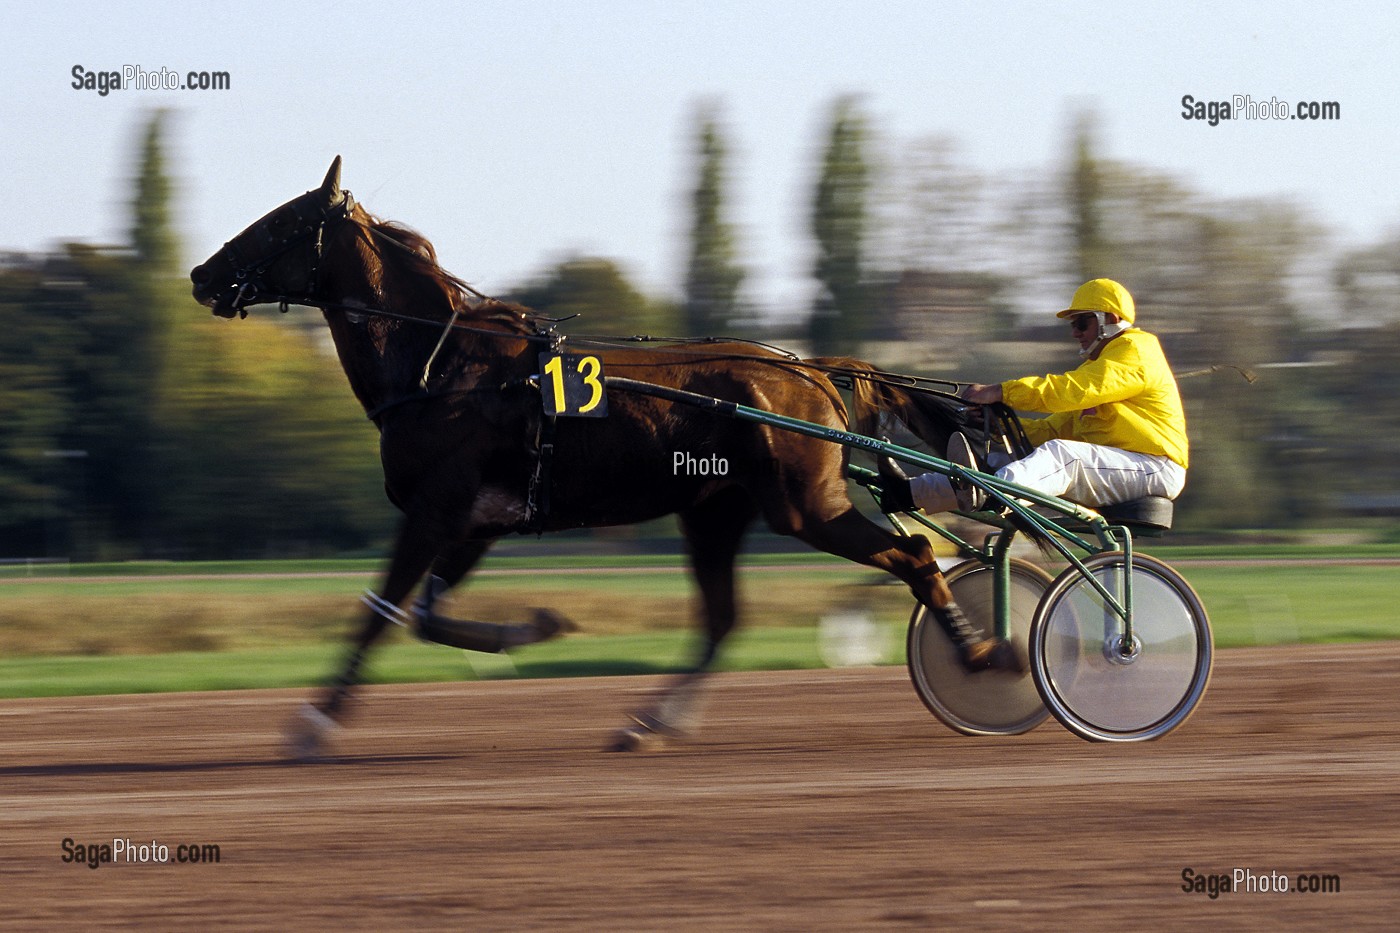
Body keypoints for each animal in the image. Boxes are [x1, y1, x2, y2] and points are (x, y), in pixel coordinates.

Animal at [189, 158, 1019, 756]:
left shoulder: (434, 510)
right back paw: (648, 722)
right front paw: (529, 628)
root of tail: (810, 371)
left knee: (916, 556)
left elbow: (382, 611)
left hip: (804, 506)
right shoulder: (477, 520)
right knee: (724, 616)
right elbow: (428, 614)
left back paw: (984, 654)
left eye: (280, 223)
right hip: (716, 513)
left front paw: (312, 724)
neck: (444, 364)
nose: (200, 275)